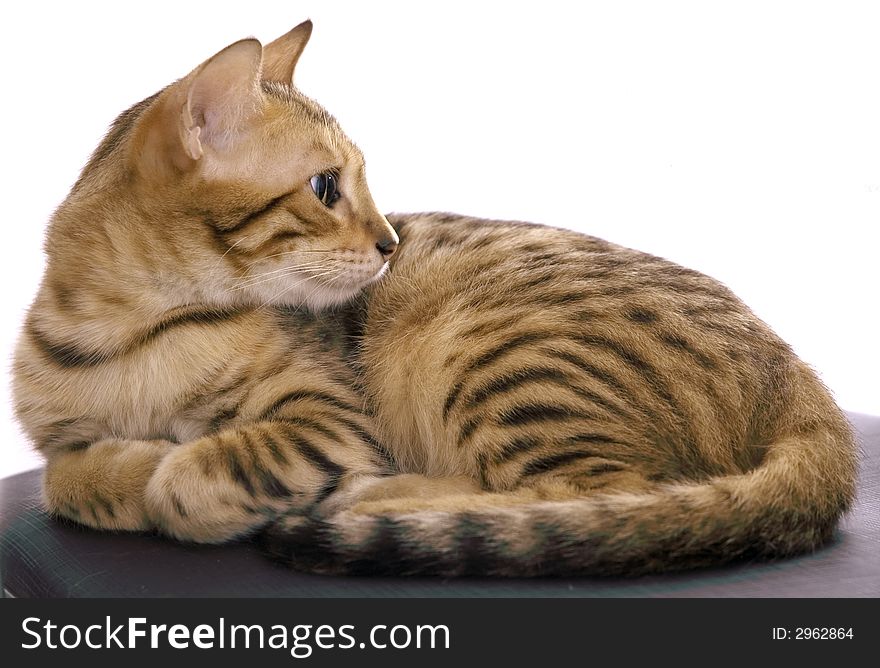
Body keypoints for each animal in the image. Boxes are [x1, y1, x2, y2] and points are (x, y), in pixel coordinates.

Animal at [10, 20, 856, 576]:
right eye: (326, 187)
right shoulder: (53, 436)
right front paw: (122, 471)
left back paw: (376, 501)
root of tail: (805, 386)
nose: (390, 242)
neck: (132, 332)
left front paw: (165, 476)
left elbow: (206, 468)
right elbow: (63, 477)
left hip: (489, 351)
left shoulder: (334, 419)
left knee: (610, 497)